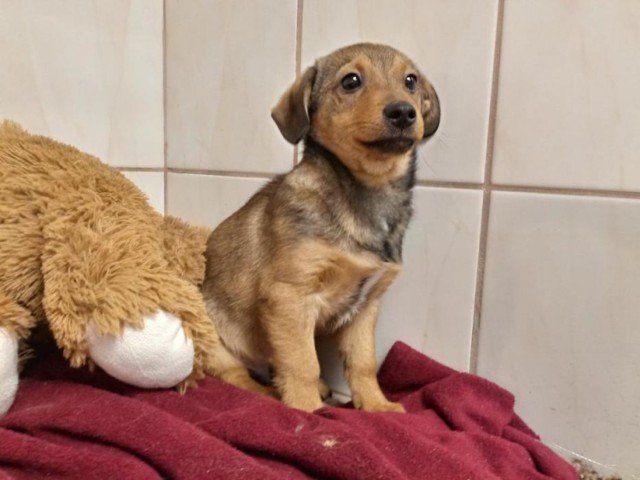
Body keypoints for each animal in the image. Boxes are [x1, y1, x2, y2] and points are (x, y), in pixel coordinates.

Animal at [204, 42, 440, 412]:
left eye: (410, 81)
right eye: (351, 81)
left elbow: (363, 363)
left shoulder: (365, 307)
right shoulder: (288, 295)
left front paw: (377, 406)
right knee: (235, 375)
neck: (367, 193)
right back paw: (272, 394)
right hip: (211, 333)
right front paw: (308, 410)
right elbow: (302, 362)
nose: (403, 112)